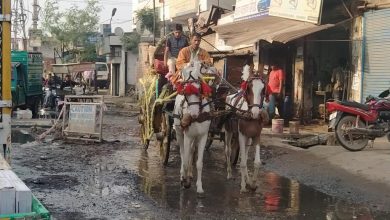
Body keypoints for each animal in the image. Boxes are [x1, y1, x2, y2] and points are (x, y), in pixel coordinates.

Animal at [174, 61, 213, 193]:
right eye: (185, 92)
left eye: (199, 90)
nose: (194, 114)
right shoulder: (187, 136)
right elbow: (185, 160)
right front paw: (184, 181)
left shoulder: (203, 136)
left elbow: (199, 163)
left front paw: (199, 186)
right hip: (179, 132)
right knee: (182, 153)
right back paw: (183, 174)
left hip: (195, 138)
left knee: (191, 151)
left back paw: (190, 174)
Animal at [222, 64, 268, 192]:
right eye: (249, 88)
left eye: (263, 89)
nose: (255, 112)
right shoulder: (241, 135)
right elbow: (242, 163)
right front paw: (243, 186)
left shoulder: (256, 136)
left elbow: (256, 162)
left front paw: (252, 183)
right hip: (229, 131)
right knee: (228, 151)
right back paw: (229, 173)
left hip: (247, 138)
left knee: (245, 155)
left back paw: (247, 180)